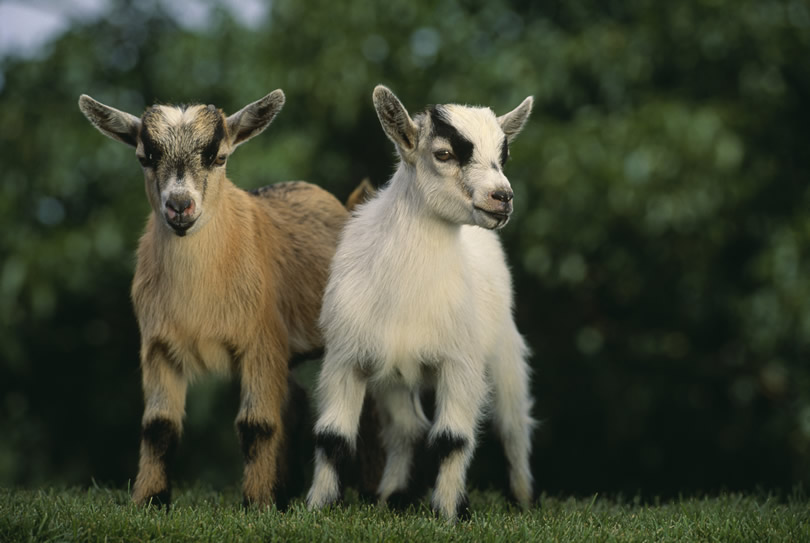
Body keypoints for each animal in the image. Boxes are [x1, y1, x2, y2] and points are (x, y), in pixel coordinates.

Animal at [78, 90, 360, 510]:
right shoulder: (158, 346)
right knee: (294, 400)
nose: (180, 206)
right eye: (146, 156)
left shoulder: (261, 342)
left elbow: (256, 424)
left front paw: (256, 504)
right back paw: (288, 489)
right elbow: (158, 426)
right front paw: (149, 499)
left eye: (219, 155)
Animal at [306, 86, 532, 524]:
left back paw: (524, 500)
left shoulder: (460, 362)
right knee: (406, 428)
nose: (502, 197)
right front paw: (316, 508)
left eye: (504, 154)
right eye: (443, 154)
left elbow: (452, 439)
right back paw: (390, 496)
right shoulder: (345, 357)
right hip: (395, 377)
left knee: (513, 425)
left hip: (504, 350)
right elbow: (332, 436)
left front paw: (447, 514)